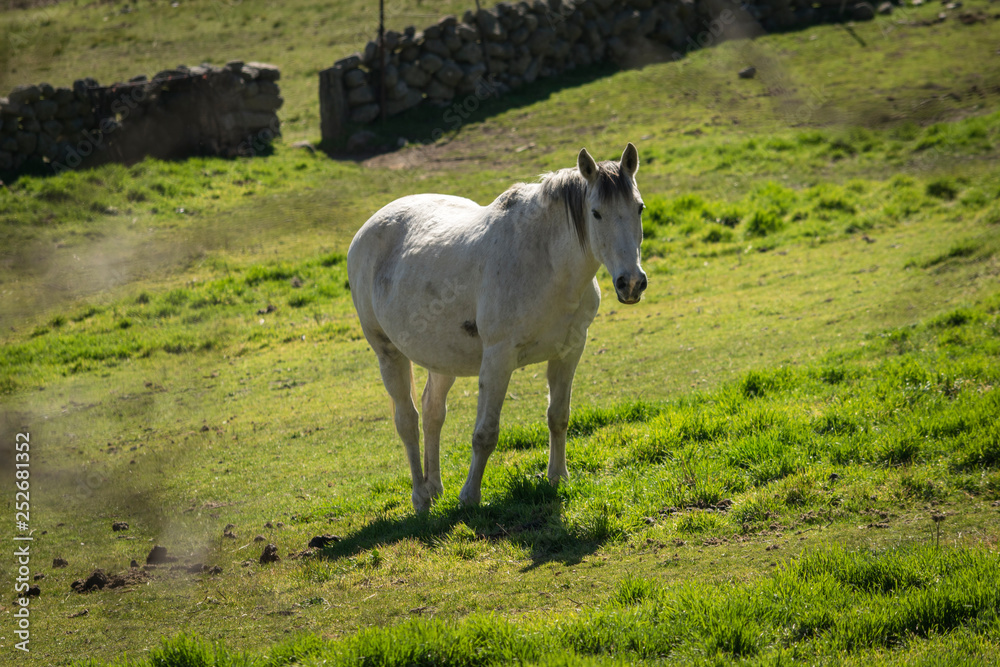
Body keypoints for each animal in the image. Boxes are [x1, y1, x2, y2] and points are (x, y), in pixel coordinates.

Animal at [350, 144, 648, 516]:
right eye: (596, 213)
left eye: (639, 208)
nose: (631, 283)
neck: (545, 263)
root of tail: (367, 229)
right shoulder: (498, 359)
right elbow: (485, 434)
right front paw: (470, 497)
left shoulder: (569, 351)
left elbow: (558, 416)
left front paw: (557, 478)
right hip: (388, 353)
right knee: (407, 420)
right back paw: (421, 497)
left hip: (442, 359)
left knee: (433, 413)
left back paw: (435, 488)